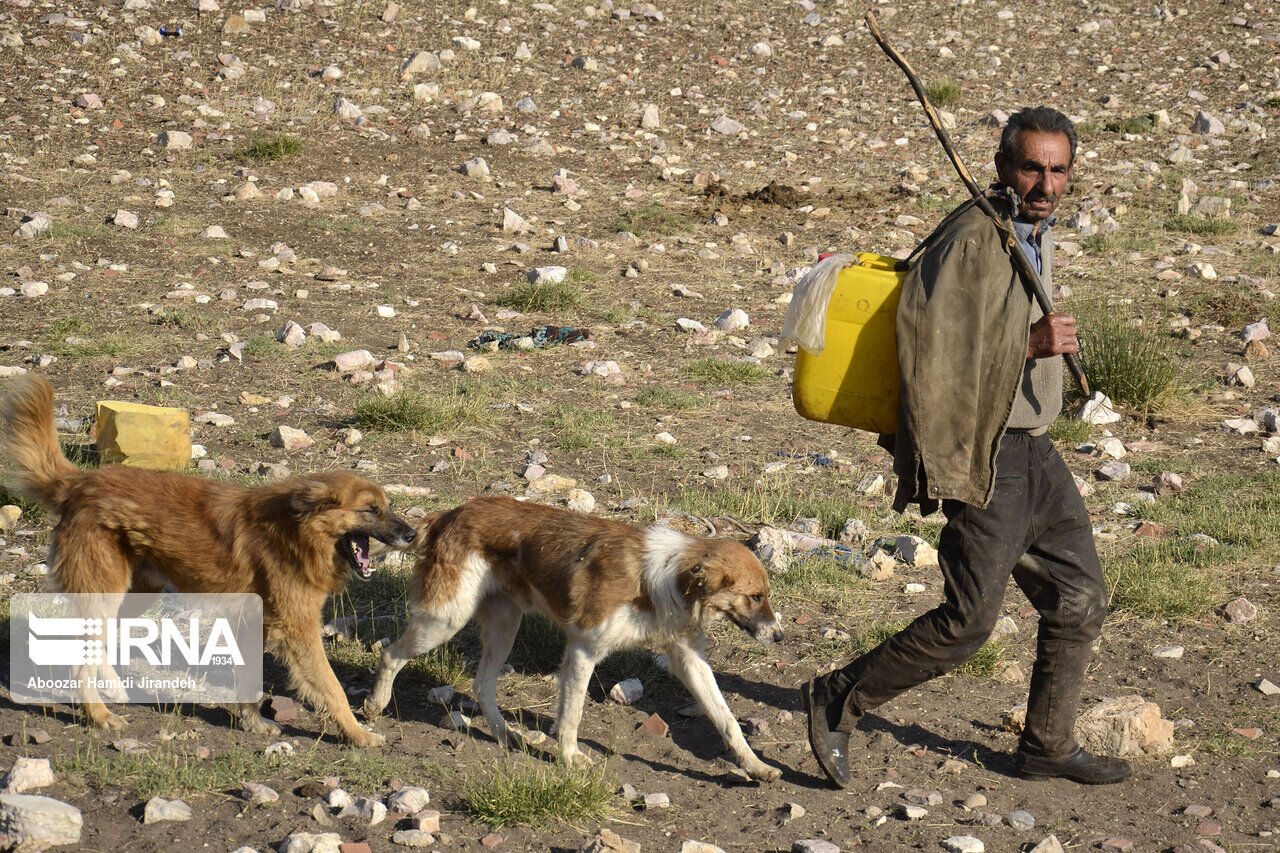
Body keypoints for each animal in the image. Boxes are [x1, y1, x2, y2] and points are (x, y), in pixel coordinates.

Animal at [1, 376, 414, 742]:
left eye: (387, 507)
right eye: (371, 510)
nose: (411, 535)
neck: (297, 530)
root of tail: (79, 484)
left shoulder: (256, 623)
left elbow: (250, 677)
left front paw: (253, 723)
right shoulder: (299, 631)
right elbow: (332, 688)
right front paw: (359, 735)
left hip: (133, 595)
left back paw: (114, 691)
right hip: (105, 594)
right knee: (78, 660)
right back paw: (100, 716)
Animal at [363, 491, 788, 778]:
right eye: (756, 596)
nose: (781, 637)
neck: (666, 579)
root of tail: (450, 514)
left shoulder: (688, 658)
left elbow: (726, 717)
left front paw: (755, 765)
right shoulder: (585, 648)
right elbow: (573, 712)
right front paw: (569, 758)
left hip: (504, 628)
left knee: (482, 686)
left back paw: (505, 735)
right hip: (445, 620)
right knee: (390, 655)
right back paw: (374, 705)